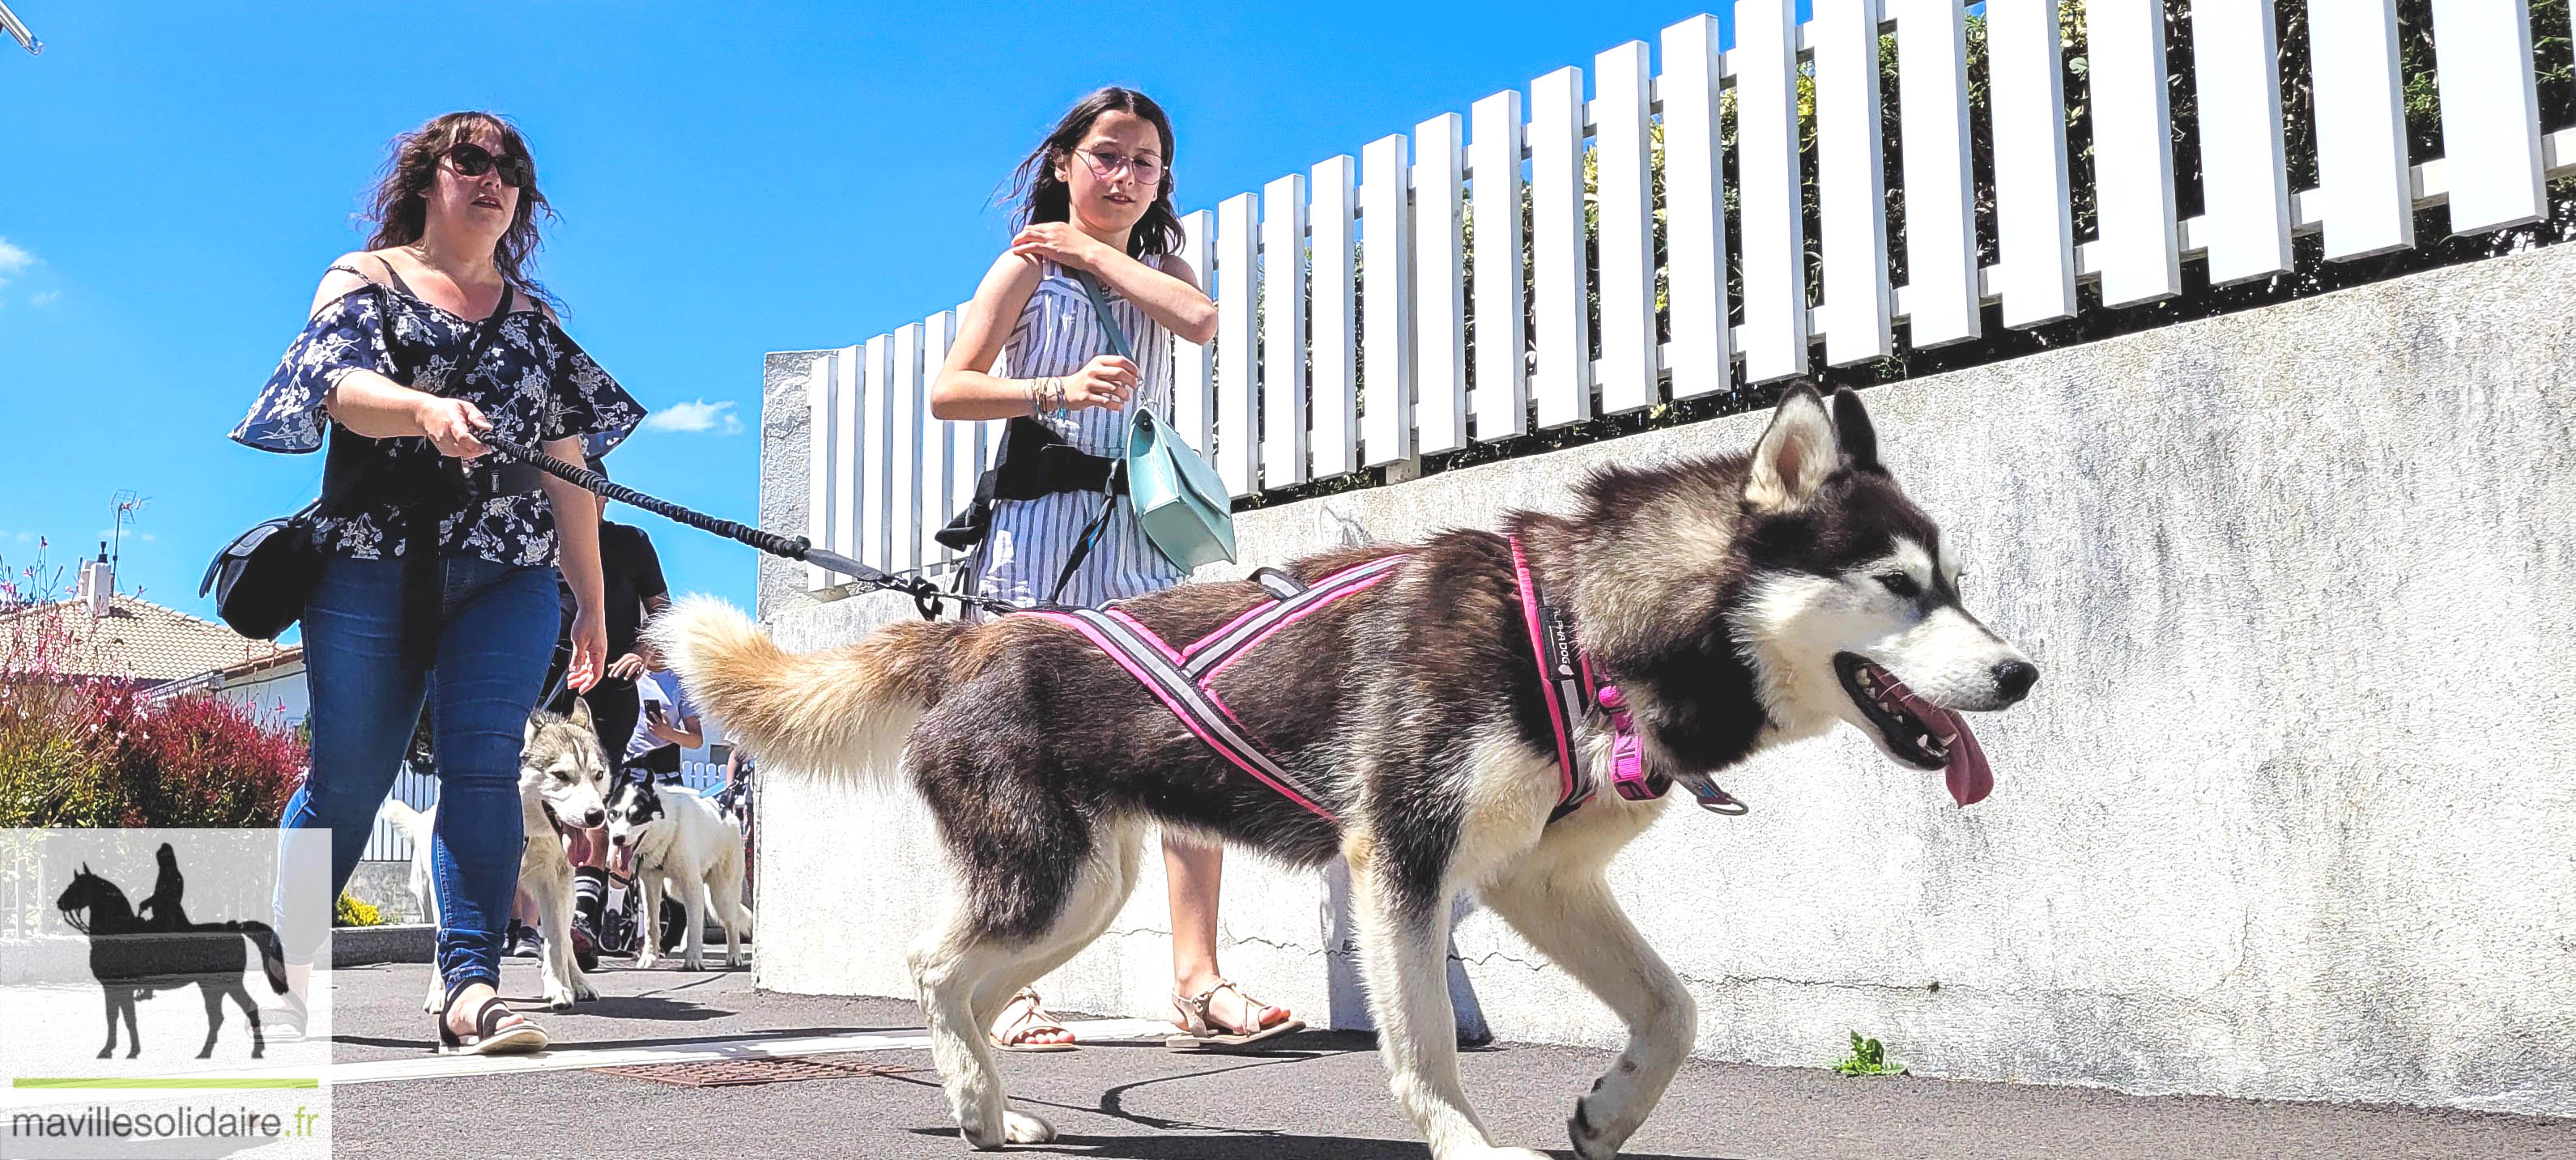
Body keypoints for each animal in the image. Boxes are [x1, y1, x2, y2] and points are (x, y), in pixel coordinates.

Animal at [376, 695, 613, 1015]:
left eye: (598, 775)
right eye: (561, 776)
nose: (596, 816)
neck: (526, 827)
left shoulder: (555, 884)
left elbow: (557, 942)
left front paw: (559, 987)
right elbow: (445, 940)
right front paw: (441, 992)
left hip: (566, 891)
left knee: (565, 936)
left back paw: (578, 981)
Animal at [602, 767, 752, 969]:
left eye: (637, 816)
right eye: (613, 814)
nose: (617, 839)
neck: (668, 830)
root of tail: (728, 812)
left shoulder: (691, 883)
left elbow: (696, 923)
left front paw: (694, 959)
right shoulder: (649, 884)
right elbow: (651, 924)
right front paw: (649, 957)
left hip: (721, 894)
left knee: (731, 920)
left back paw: (734, 955)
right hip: (675, 888)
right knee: (696, 909)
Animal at [654, 389, 2040, 1160]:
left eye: (1954, 585)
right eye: (1898, 586)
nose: (2022, 672)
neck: (1574, 624)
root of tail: (977, 632)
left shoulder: (1540, 879)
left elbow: (1674, 1010)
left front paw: (1608, 1112)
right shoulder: (1402, 860)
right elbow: (1422, 1039)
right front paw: (1470, 1148)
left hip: (1088, 890)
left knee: (968, 984)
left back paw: (993, 1113)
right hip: (1052, 882)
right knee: (932, 967)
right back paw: (974, 1108)